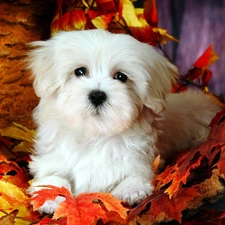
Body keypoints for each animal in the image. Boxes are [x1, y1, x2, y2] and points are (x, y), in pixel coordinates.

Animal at [27, 29, 221, 214]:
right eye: (80, 71)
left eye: (121, 76)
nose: (97, 95)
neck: (95, 133)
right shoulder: (52, 158)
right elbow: (51, 178)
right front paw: (50, 197)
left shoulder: (140, 158)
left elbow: (137, 172)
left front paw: (131, 189)